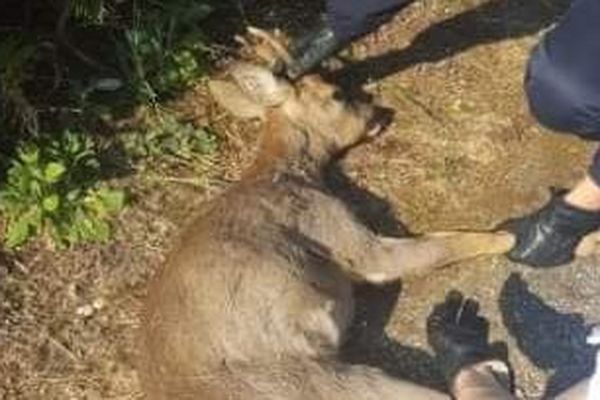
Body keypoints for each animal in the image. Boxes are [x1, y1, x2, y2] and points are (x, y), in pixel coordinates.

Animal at [138, 31, 532, 400]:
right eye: (336, 94)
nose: (380, 110)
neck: (288, 172)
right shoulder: (341, 234)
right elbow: (436, 247)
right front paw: (506, 236)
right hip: (318, 379)